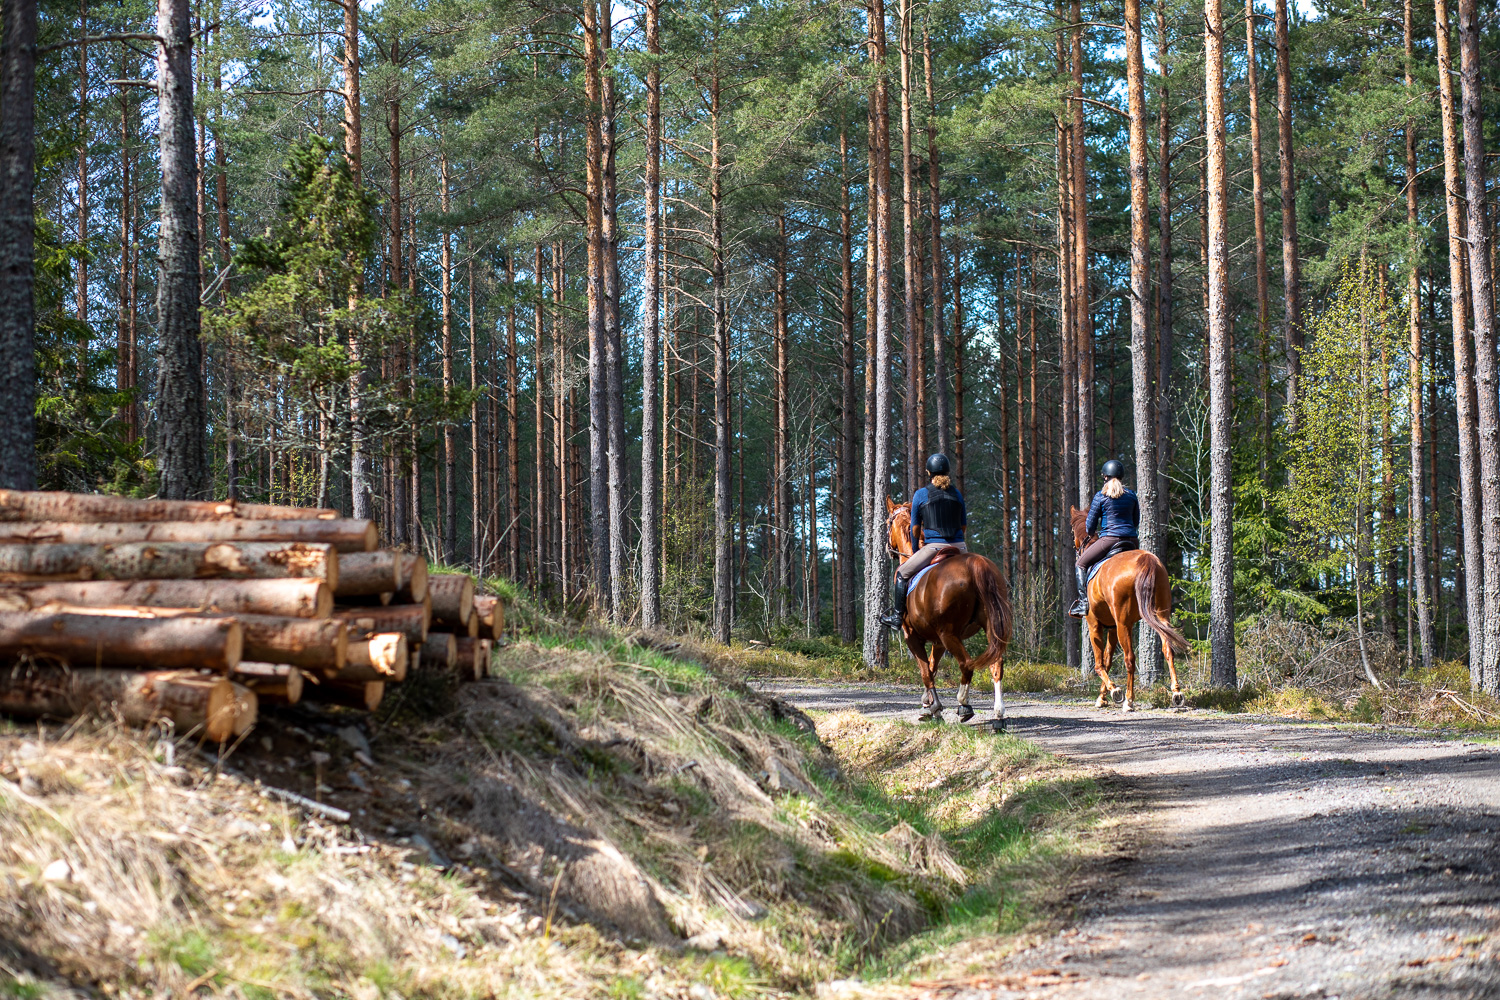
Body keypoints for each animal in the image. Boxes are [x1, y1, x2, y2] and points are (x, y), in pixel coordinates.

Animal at [882, 497, 1014, 728]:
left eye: (888, 523)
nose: (888, 549)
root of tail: (976, 563)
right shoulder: (938, 641)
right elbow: (933, 667)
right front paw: (927, 705)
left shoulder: (912, 636)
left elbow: (926, 671)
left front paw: (934, 708)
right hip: (988, 627)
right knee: (996, 664)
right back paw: (998, 714)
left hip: (949, 634)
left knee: (966, 664)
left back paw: (964, 706)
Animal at [1068, 509, 1194, 710]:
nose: (1075, 547)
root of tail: (1146, 559)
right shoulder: (1111, 628)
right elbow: (1108, 661)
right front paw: (1102, 697)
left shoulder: (1095, 624)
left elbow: (1099, 664)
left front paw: (1113, 691)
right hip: (1161, 616)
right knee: (1168, 650)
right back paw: (1176, 693)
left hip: (1123, 624)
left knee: (1130, 658)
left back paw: (1128, 699)